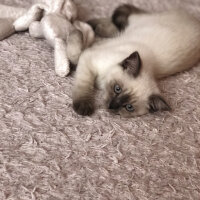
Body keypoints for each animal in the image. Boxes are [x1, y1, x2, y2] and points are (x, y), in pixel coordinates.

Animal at [72, 3, 200, 117]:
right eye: (117, 89)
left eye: (129, 107)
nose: (112, 106)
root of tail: (195, 20)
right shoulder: (89, 57)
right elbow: (84, 85)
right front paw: (83, 107)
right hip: (140, 22)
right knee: (127, 16)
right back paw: (89, 24)